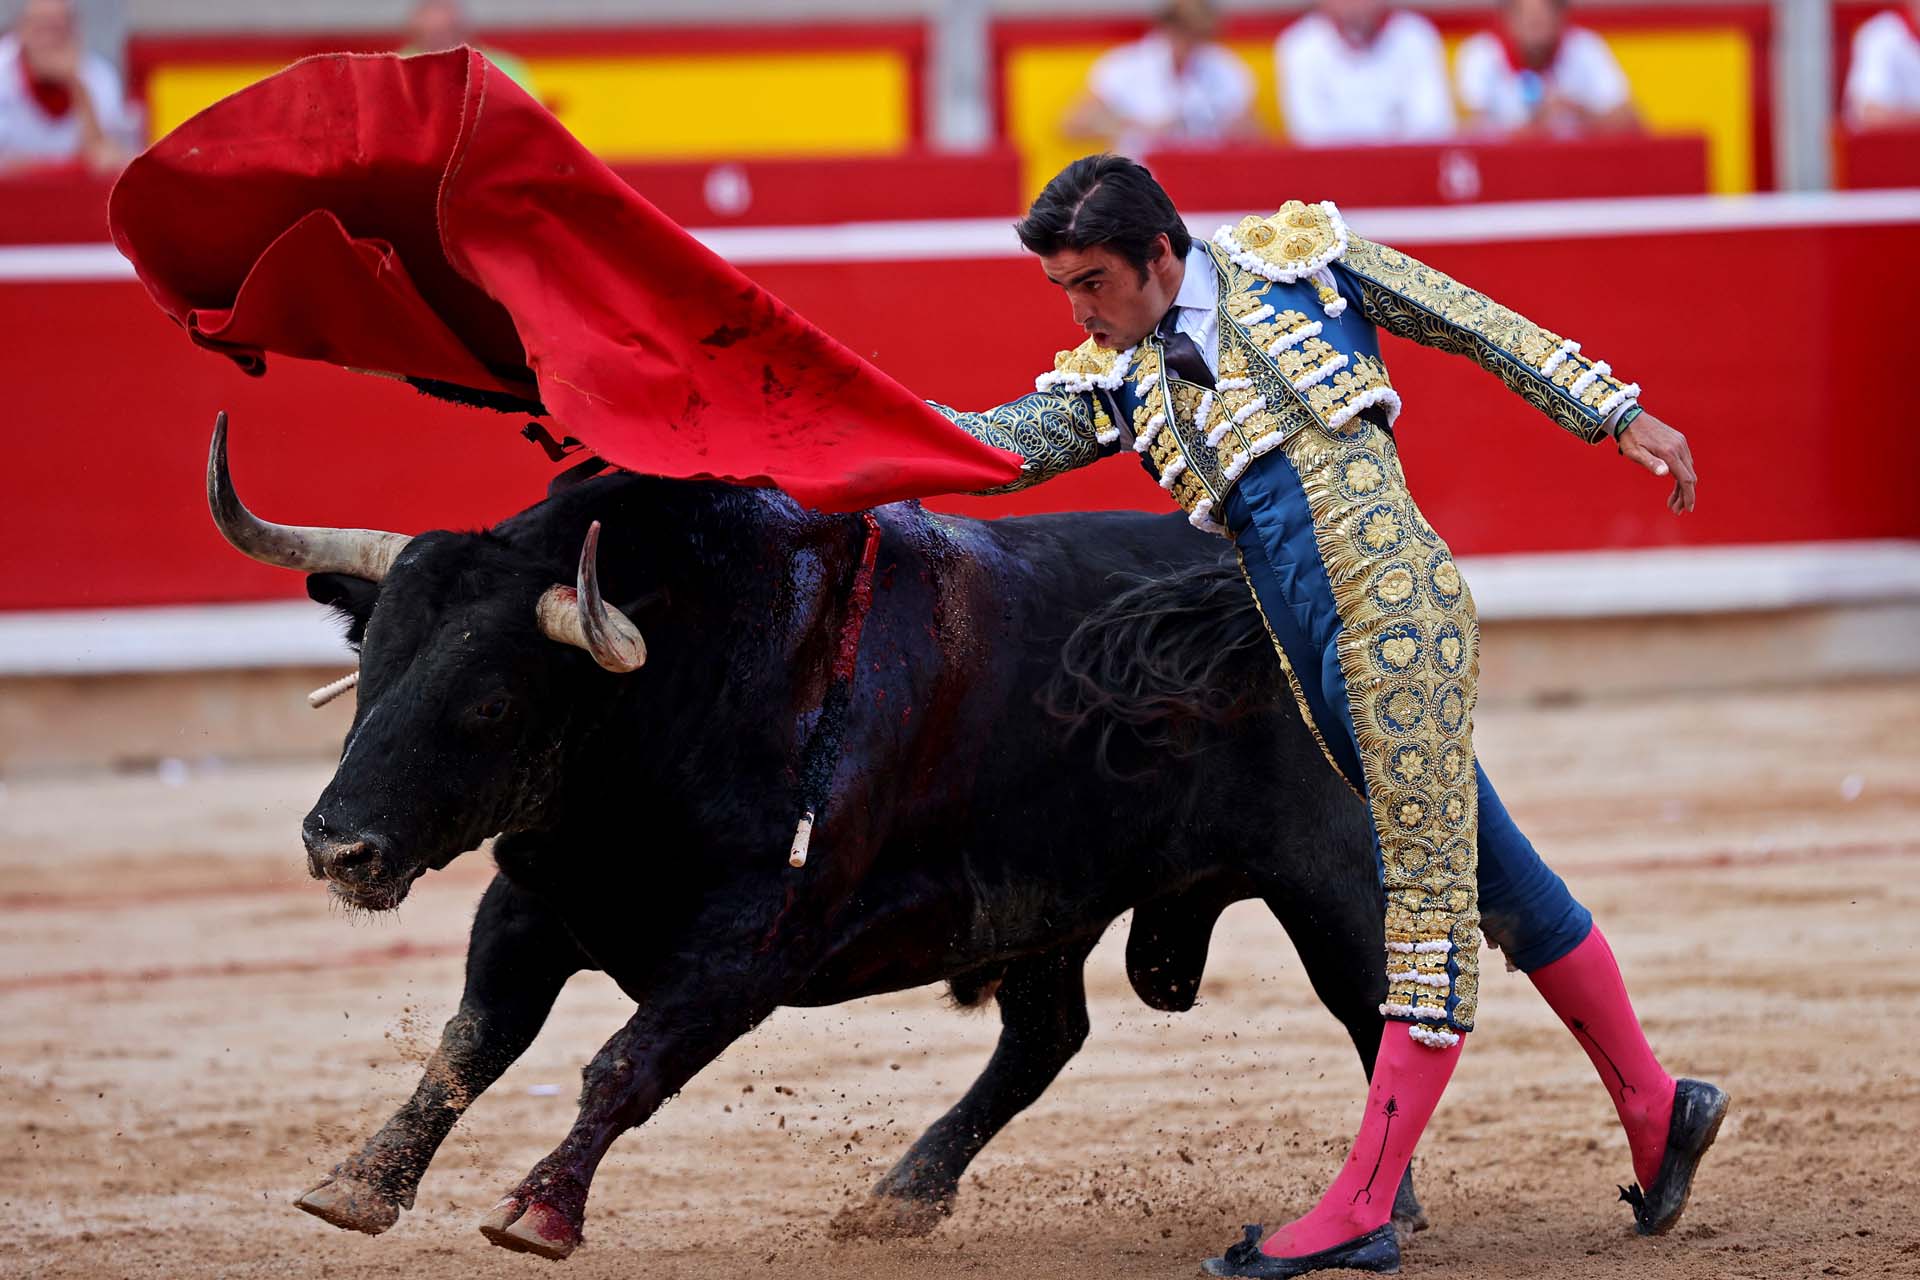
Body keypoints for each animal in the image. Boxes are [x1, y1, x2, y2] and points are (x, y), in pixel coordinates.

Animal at [259, 462, 1428, 1258]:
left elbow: (624, 1063)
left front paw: (539, 1208)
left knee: (1379, 1009)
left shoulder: (747, 949)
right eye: (371, 670)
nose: (338, 845)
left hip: (1333, 875)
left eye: (493, 701)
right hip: (1045, 906)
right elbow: (472, 1041)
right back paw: (901, 1194)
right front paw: (359, 1183)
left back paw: (1377, 1212)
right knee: (1047, 1037)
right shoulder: (532, 900)